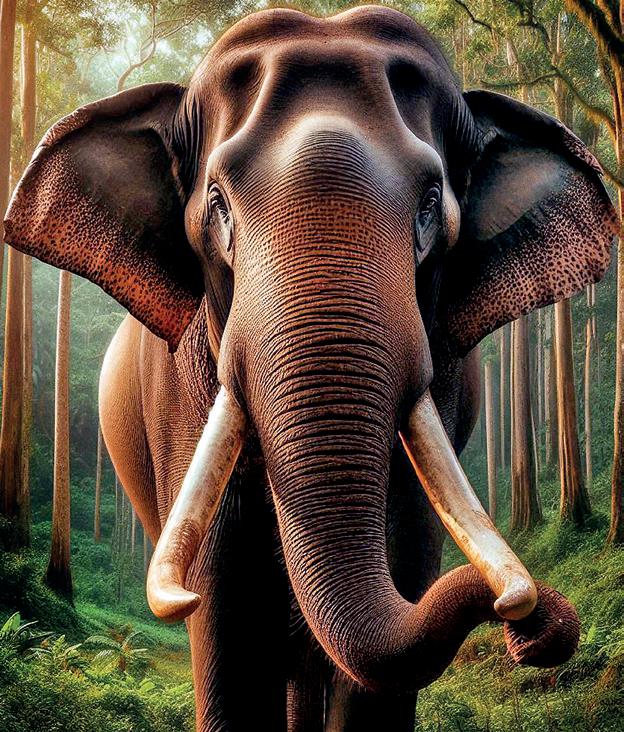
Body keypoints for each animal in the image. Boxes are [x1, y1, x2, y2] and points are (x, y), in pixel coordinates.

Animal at [4, 5, 618, 731]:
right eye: (218, 201)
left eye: (430, 201)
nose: (526, 627)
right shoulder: (180, 390)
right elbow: (223, 599)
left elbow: (405, 558)